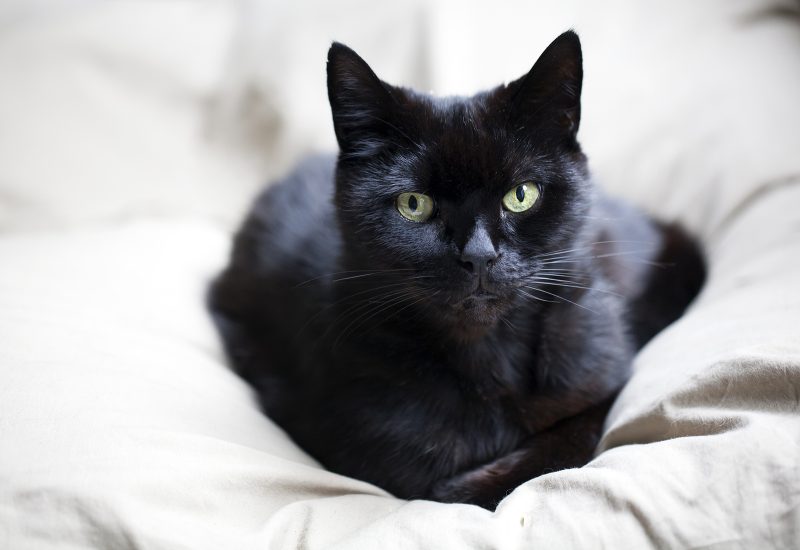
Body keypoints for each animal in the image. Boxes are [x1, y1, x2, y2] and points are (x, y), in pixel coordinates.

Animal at [209, 32, 704, 512]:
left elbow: (564, 441)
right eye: (413, 203)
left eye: (521, 194)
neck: (487, 359)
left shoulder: (601, 381)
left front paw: (470, 483)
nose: (479, 256)